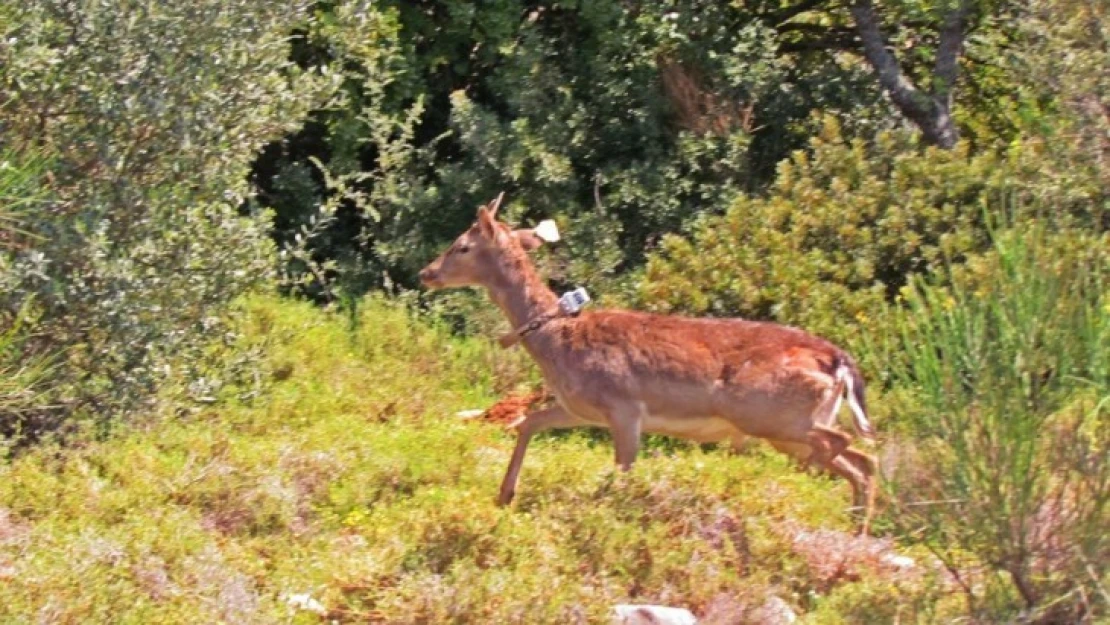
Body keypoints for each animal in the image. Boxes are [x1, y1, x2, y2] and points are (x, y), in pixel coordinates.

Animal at [419, 194, 879, 532]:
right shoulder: (581, 408)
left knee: (846, 447)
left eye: (461, 245)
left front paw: (607, 515)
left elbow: (622, 470)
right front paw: (505, 496)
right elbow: (529, 422)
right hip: (790, 423)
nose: (426, 272)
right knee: (861, 463)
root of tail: (838, 359)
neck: (558, 342)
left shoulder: (623, 405)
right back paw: (855, 533)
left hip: (767, 413)